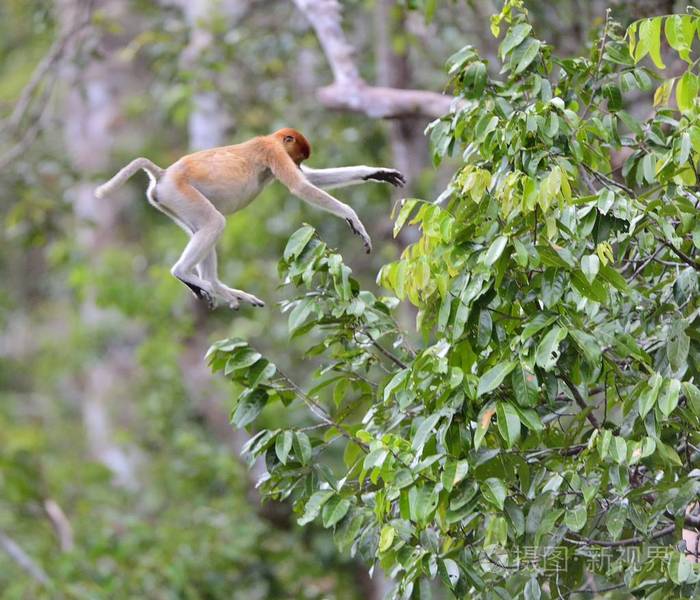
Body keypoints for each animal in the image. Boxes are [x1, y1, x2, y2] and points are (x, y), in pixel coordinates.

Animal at [98, 129, 404, 312]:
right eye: (298, 156)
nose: (299, 165)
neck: (271, 137)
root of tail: (162, 176)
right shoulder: (272, 150)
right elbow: (301, 186)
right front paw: (352, 218)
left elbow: (313, 179)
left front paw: (377, 173)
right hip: (181, 193)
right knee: (214, 223)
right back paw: (187, 275)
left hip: (173, 204)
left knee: (202, 230)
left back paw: (218, 288)